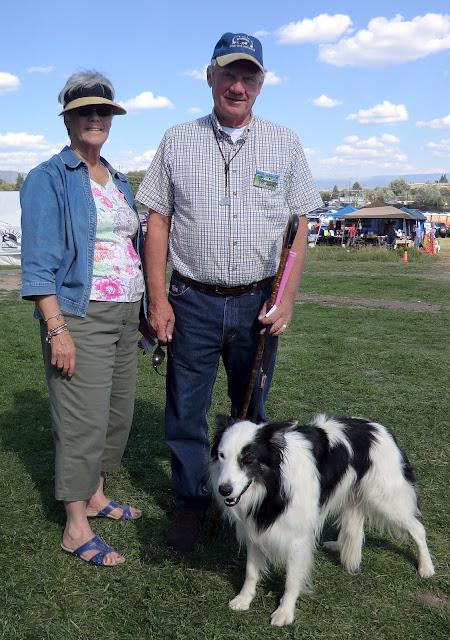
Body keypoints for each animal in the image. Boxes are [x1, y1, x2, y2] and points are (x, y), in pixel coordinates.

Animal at [209, 412, 434, 628]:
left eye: (248, 459)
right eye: (221, 455)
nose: (224, 490)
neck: (273, 486)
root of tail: (379, 428)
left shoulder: (297, 539)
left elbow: (291, 580)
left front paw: (284, 612)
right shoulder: (256, 530)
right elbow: (251, 571)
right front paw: (243, 599)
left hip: (386, 500)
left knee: (418, 528)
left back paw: (426, 567)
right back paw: (337, 545)